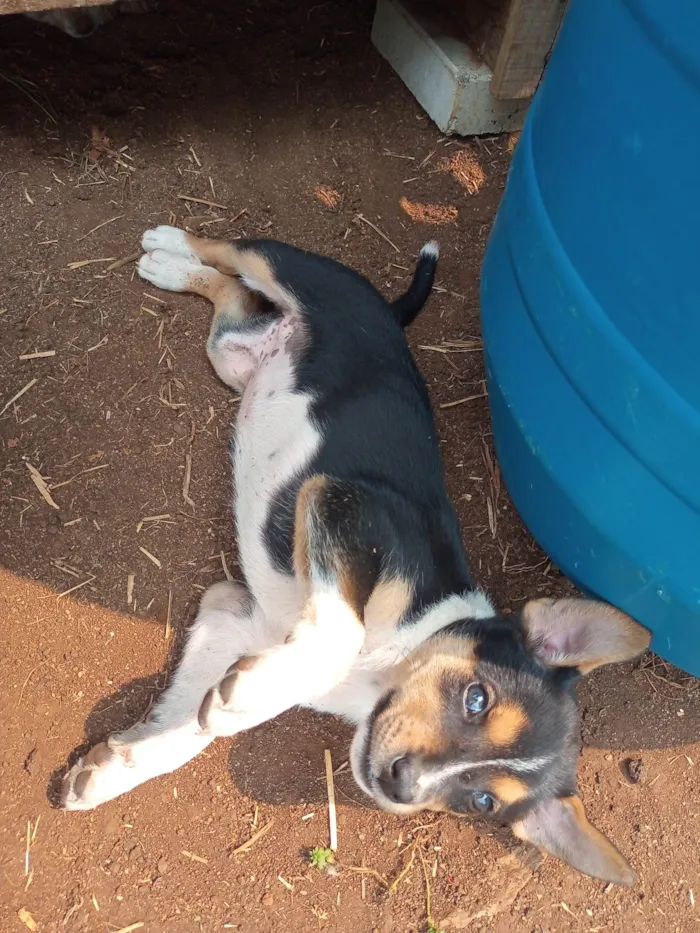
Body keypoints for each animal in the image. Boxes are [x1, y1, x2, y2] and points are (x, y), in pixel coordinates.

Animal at [58, 224, 652, 880]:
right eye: (476, 699)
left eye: (482, 801)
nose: (401, 785)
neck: (385, 666)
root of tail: (388, 315)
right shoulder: (341, 501)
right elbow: (338, 632)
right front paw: (249, 699)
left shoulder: (234, 614)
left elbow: (192, 724)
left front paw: (112, 770)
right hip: (292, 268)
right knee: (232, 251)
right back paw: (167, 248)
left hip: (231, 356)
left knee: (230, 297)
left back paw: (171, 268)